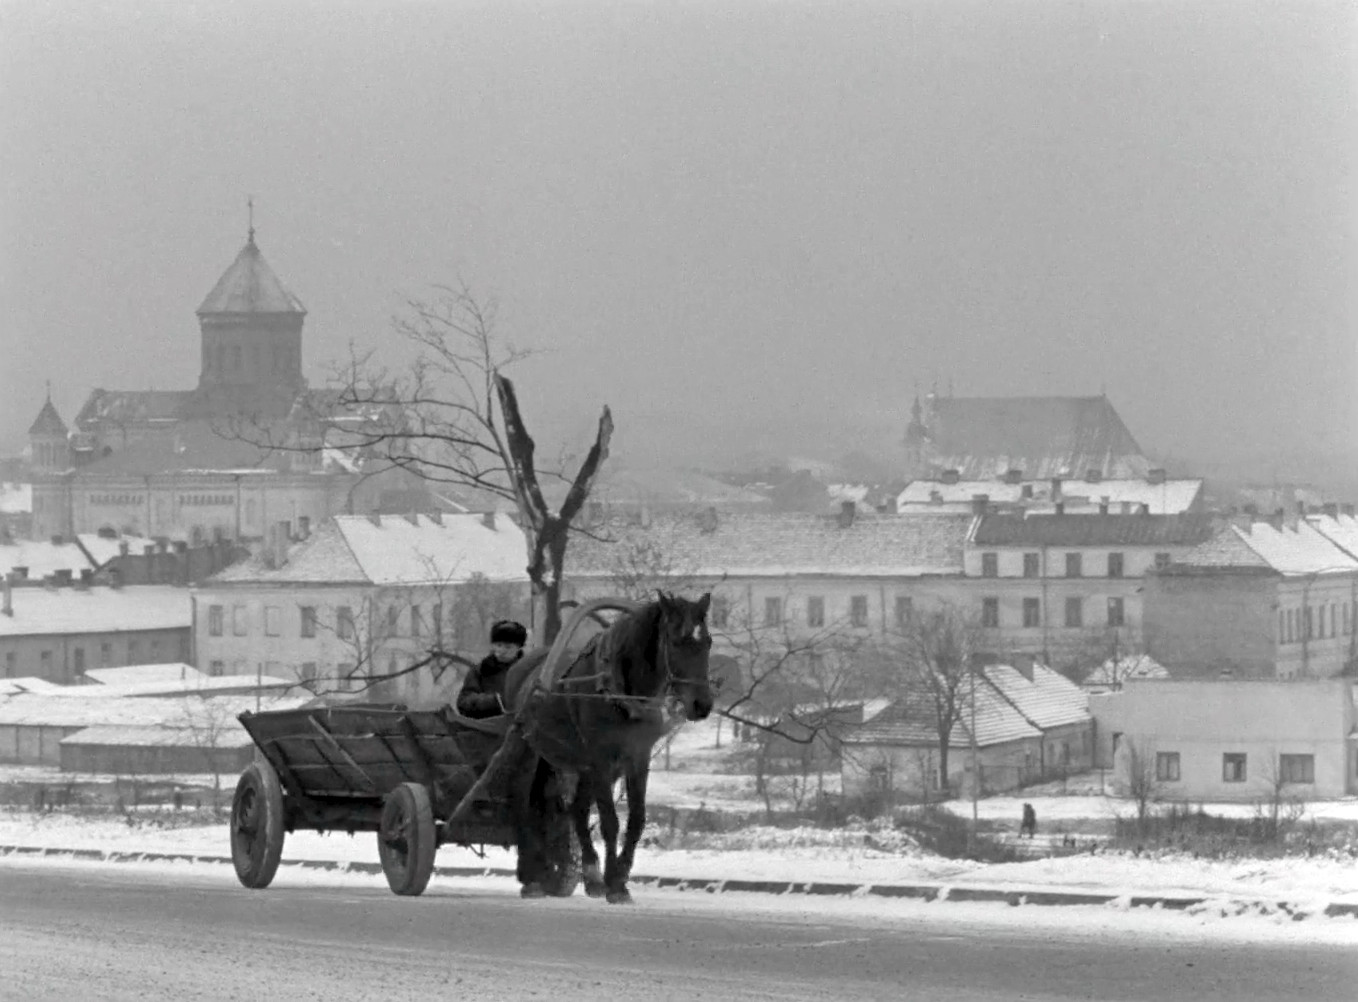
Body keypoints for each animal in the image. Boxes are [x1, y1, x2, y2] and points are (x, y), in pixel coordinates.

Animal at [505, 589, 717, 901]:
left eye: (708, 641)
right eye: (676, 641)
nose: (701, 704)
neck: (619, 693)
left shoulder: (637, 758)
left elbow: (636, 819)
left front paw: (619, 877)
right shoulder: (601, 760)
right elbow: (609, 821)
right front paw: (614, 883)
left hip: (576, 764)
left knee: (575, 809)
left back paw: (590, 875)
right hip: (528, 751)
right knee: (521, 805)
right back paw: (532, 876)